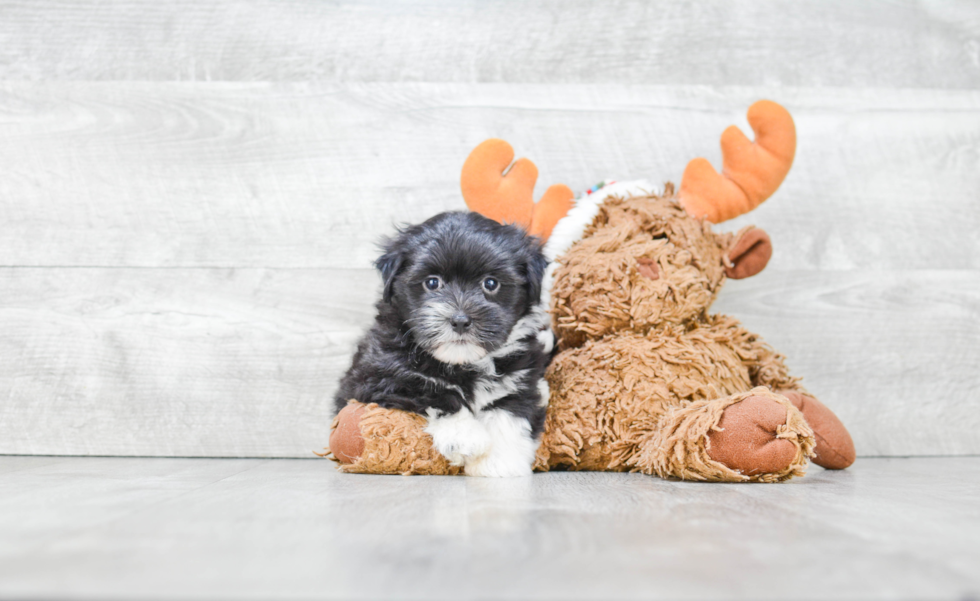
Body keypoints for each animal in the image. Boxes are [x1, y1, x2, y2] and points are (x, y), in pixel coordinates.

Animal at [334, 211, 552, 478]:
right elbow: (433, 391)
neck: (462, 363)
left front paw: (500, 461)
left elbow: (510, 409)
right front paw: (464, 438)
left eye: (491, 284)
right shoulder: (376, 376)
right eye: (432, 283)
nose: (460, 320)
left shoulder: (522, 376)